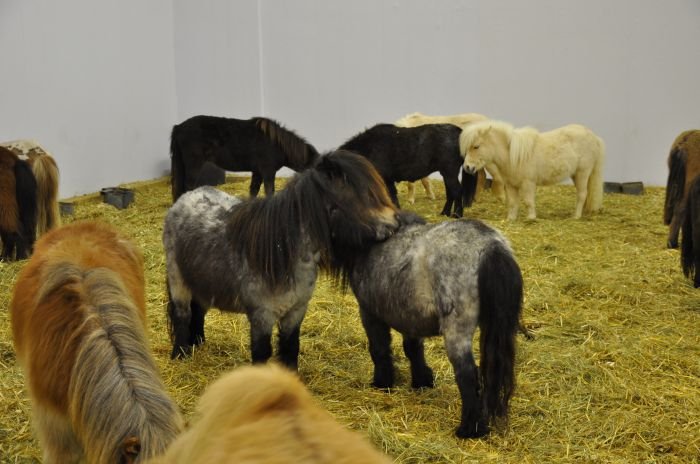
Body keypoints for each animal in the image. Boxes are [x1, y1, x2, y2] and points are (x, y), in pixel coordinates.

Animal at [164, 150, 401, 365]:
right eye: (353, 195)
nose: (394, 225)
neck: (281, 254)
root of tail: (186, 197)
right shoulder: (262, 316)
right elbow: (261, 354)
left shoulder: (296, 312)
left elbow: (290, 348)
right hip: (178, 283)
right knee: (183, 315)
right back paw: (180, 354)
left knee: (199, 310)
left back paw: (198, 341)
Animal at [170, 115, 320, 201]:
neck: (276, 144)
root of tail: (179, 127)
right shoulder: (268, 171)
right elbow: (269, 191)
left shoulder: (258, 172)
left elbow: (254, 190)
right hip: (193, 165)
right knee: (188, 187)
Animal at [332, 213, 522, 438]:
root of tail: (491, 247)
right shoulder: (411, 316)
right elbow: (413, 349)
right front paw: (422, 381)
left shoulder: (369, 312)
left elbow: (379, 348)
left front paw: (382, 382)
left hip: (457, 330)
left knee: (467, 374)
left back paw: (469, 429)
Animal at [339, 123, 477, 217]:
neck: (368, 148)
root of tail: (459, 132)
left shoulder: (385, 178)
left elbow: (391, 196)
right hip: (447, 173)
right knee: (451, 193)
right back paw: (444, 213)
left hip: (449, 172)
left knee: (457, 191)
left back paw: (457, 215)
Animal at [461, 120, 605, 220]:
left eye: (476, 146)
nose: (467, 167)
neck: (513, 155)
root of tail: (594, 137)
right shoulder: (511, 185)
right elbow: (513, 203)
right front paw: (511, 219)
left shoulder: (528, 183)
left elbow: (528, 201)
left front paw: (531, 218)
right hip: (576, 175)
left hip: (583, 173)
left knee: (582, 194)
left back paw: (576, 216)